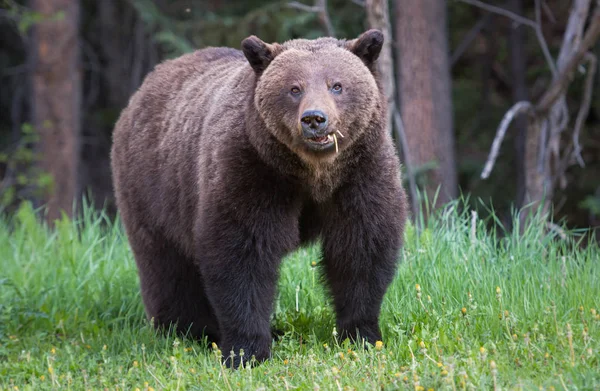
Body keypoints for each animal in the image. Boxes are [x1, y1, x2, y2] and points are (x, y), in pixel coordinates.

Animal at [111, 29, 408, 368]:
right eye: (294, 88)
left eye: (337, 85)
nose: (314, 118)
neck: (313, 174)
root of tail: (143, 89)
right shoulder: (252, 171)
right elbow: (243, 254)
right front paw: (246, 351)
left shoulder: (360, 175)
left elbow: (360, 248)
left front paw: (361, 335)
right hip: (155, 189)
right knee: (168, 266)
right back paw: (191, 329)